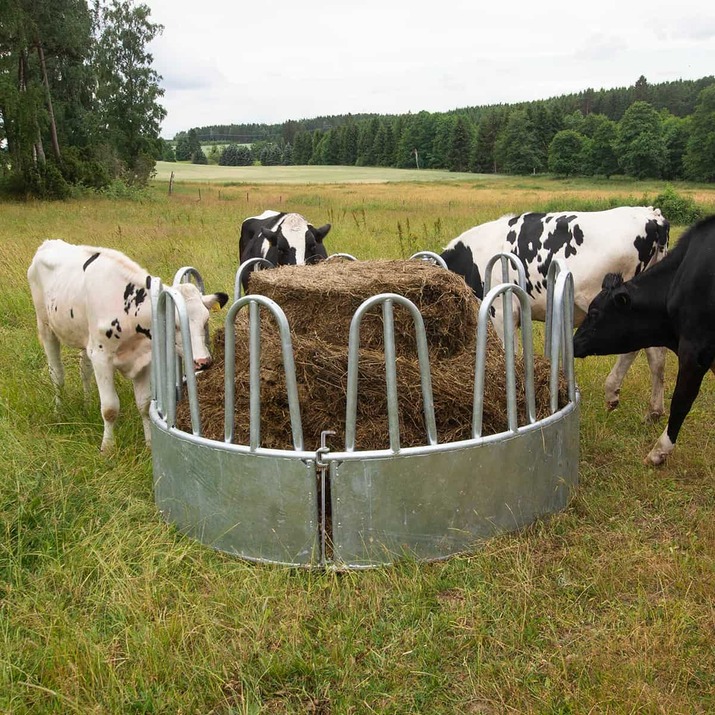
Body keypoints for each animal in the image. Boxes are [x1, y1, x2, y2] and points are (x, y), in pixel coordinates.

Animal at [28, 241, 227, 454]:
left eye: (206, 320)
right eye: (174, 324)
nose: (203, 361)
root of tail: (49, 243)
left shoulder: (144, 358)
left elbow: (144, 403)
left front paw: (149, 444)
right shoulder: (101, 356)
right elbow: (109, 408)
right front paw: (107, 448)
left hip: (84, 338)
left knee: (84, 370)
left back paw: (87, 404)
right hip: (46, 327)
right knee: (57, 374)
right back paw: (59, 411)